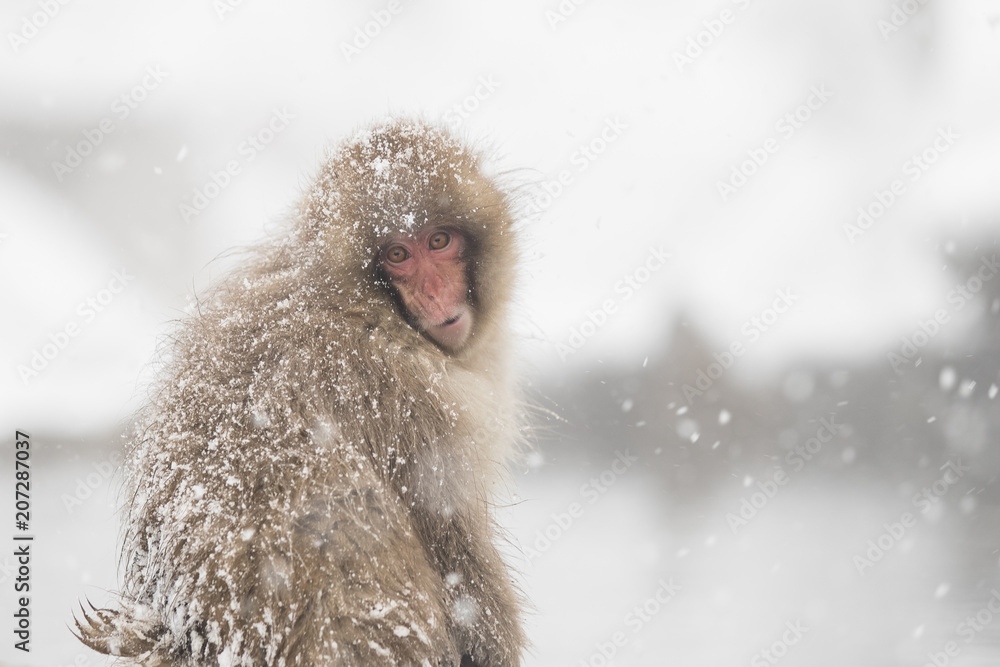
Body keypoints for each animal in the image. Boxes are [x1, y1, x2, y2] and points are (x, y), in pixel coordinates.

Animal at [74, 120, 528, 667]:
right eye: (398, 255)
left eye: (439, 240)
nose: (436, 293)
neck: (358, 302)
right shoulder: (411, 398)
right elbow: (459, 559)